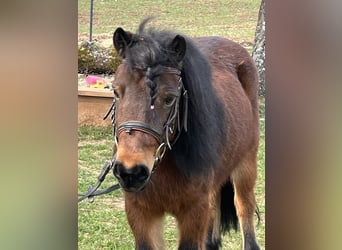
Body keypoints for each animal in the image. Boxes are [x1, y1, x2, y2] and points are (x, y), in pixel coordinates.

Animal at [111, 18, 260, 250]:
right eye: (116, 91)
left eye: (170, 98)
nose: (130, 172)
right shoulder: (141, 212)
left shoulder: (193, 213)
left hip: (246, 163)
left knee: (244, 206)